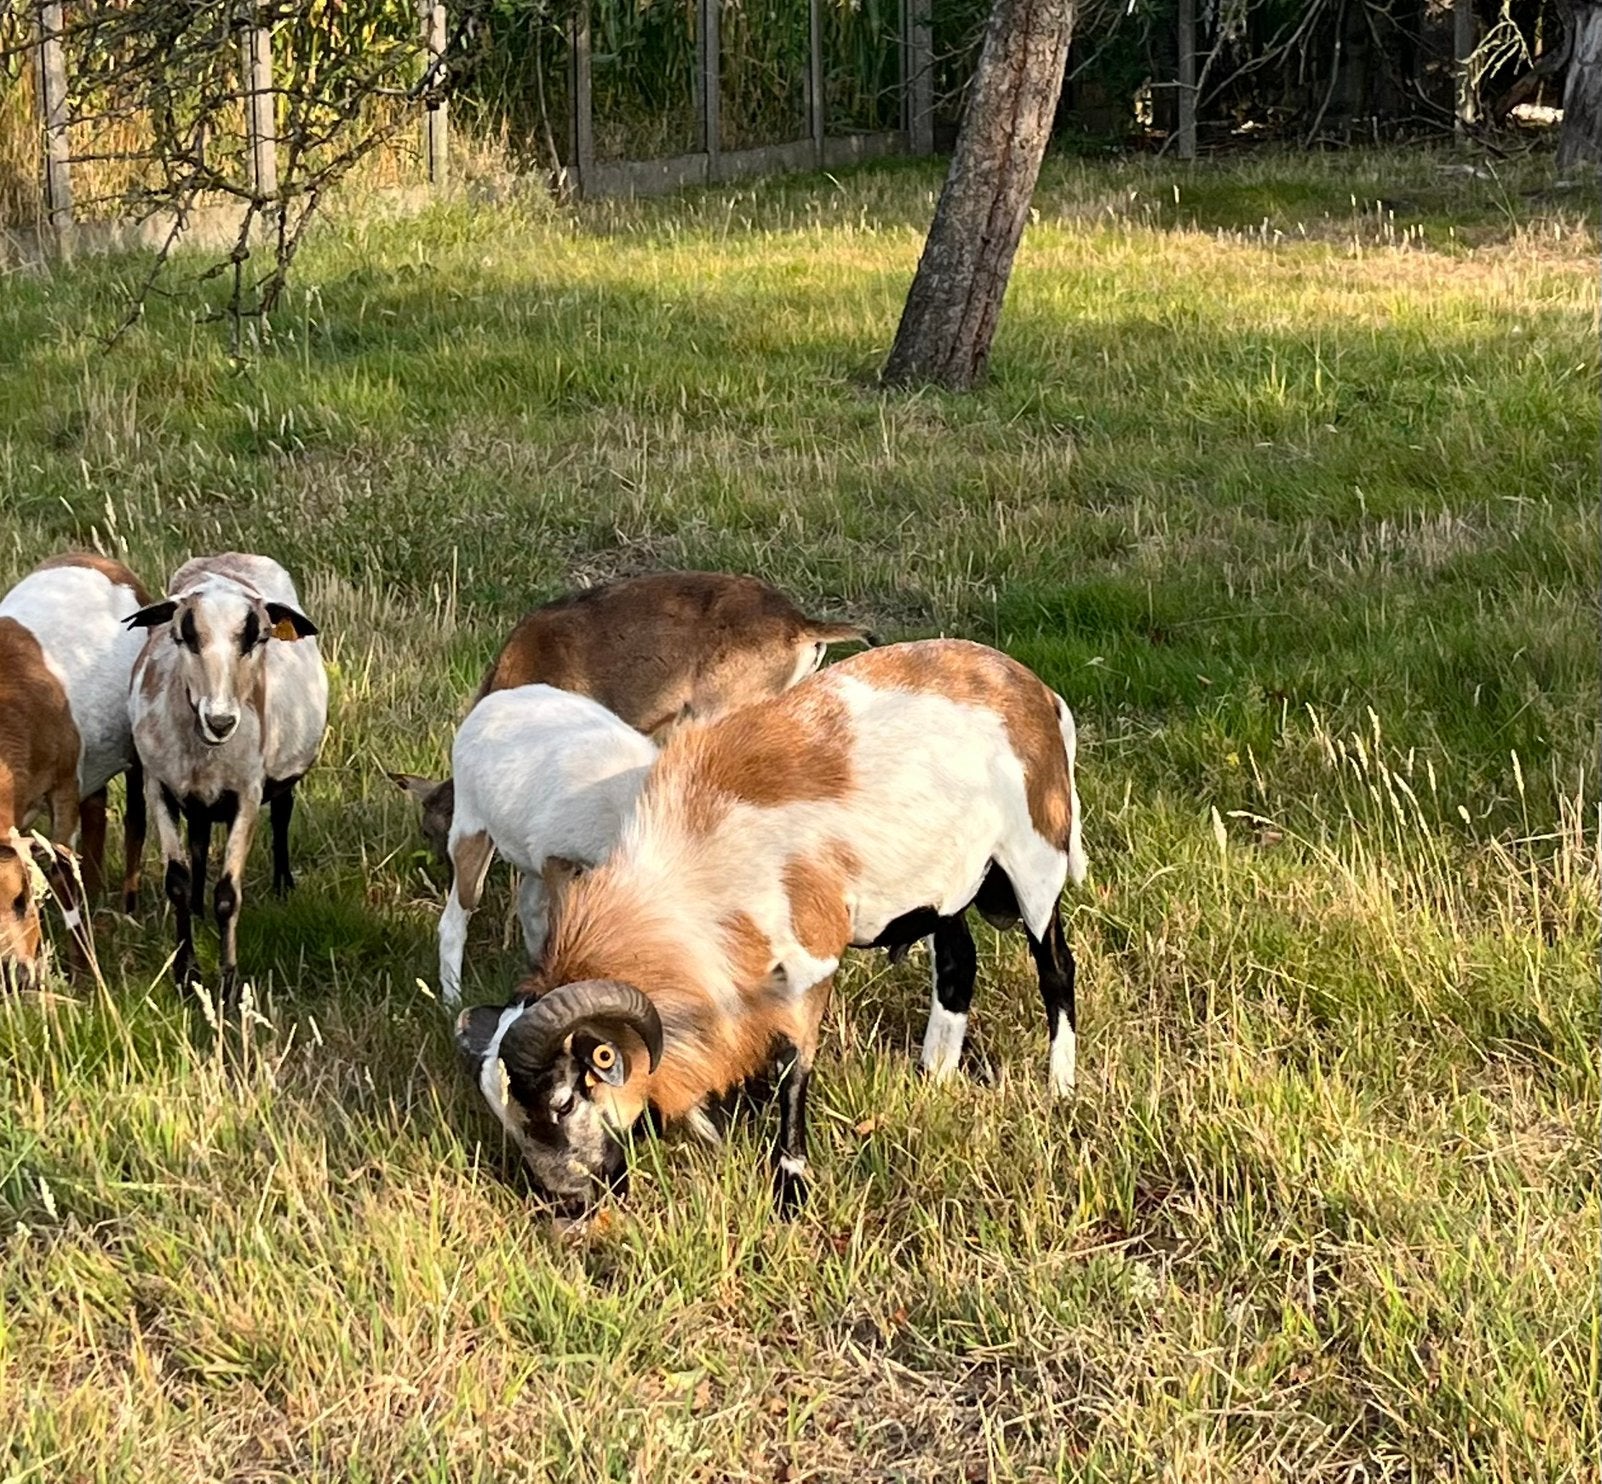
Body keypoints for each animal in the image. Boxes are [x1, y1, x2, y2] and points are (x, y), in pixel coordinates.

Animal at [0, 553, 152, 988]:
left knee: (135, 821)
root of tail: (94, 558)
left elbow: (64, 873)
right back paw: (97, 895)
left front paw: (83, 972)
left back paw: (126, 906)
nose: (17, 973)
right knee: (97, 813)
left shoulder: (63, 788)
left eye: (21, 899)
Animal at [126, 553, 327, 992]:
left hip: (281, 773)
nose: (220, 721)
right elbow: (177, 882)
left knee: (282, 814)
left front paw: (229, 985)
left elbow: (228, 895)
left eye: (258, 638)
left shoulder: (247, 795)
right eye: (184, 636)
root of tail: (231, 557)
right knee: (200, 841)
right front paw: (186, 973)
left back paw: (283, 885)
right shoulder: (158, 786)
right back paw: (197, 910)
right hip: (196, 798)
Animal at [435, 684, 658, 1008]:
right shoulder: (559, 860)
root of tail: (498, 698)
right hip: (471, 826)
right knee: (456, 917)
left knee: (527, 904)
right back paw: (452, 1000)